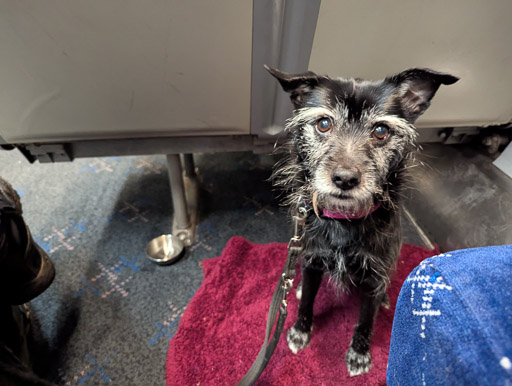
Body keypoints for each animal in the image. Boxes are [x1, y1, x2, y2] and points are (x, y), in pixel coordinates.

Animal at [266, 65, 458, 376]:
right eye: (323, 124)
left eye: (381, 131)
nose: (345, 179)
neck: (345, 220)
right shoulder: (312, 260)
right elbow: (307, 301)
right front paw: (299, 331)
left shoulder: (374, 278)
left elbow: (365, 320)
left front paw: (358, 354)